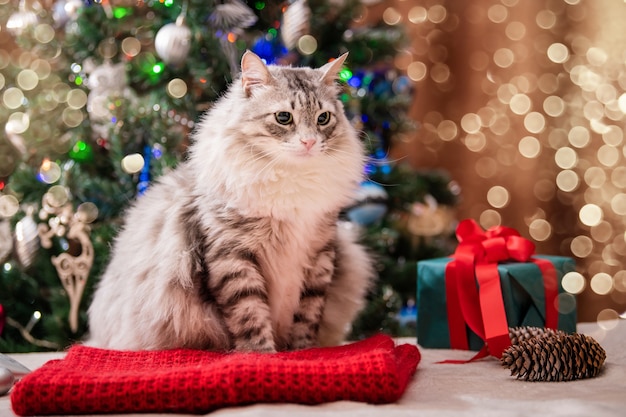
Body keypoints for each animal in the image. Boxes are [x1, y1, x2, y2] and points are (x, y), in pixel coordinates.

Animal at [85, 50, 372, 352]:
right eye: (284, 117)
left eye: (323, 118)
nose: (309, 142)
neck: (291, 182)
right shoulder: (233, 257)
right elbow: (250, 315)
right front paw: (263, 353)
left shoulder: (319, 254)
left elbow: (307, 316)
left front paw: (304, 352)